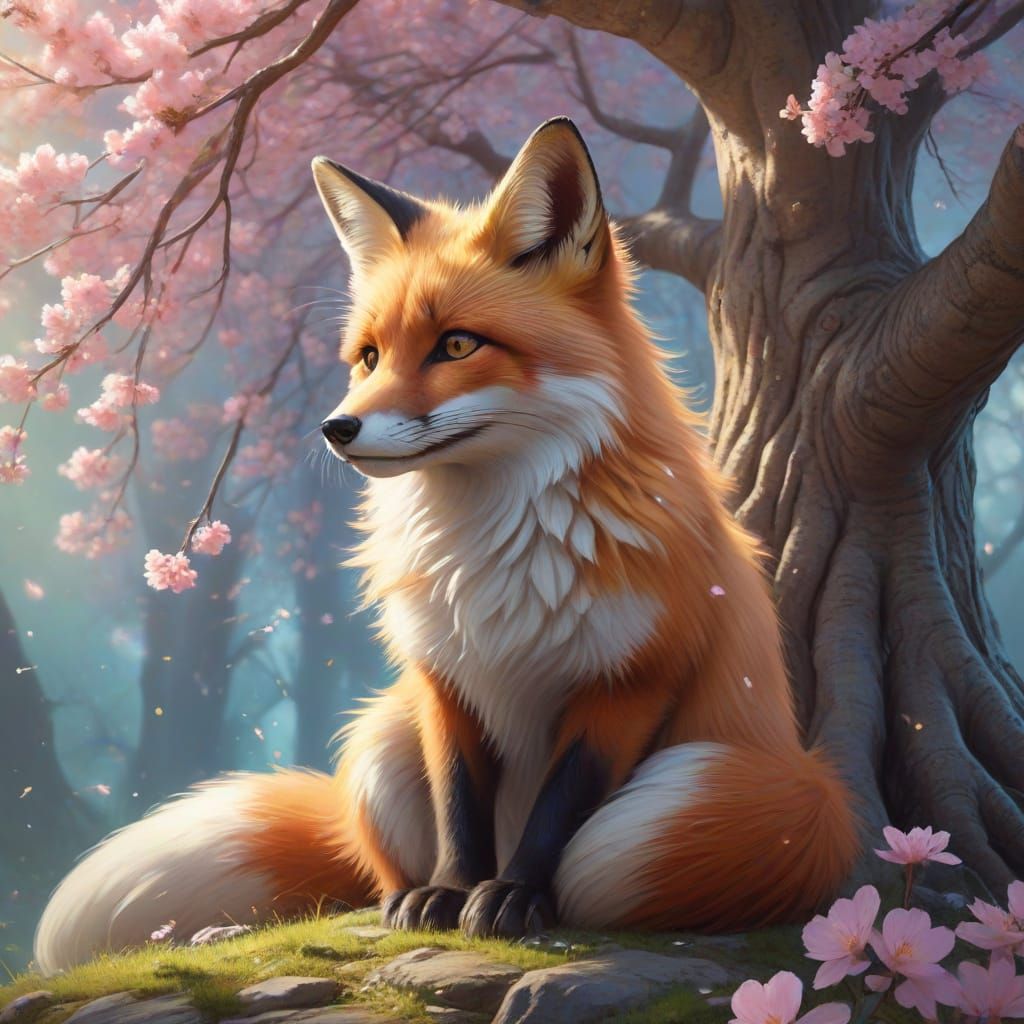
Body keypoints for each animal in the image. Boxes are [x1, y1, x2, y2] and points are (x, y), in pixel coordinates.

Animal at [34, 117, 859, 974]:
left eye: (457, 346)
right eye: (368, 356)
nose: (336, 428)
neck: (499, 553)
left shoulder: (631, 679)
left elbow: (560, 809)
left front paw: (516, 896)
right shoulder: (443, 679)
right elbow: (458, 803)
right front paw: (450, 895)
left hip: (735, 791)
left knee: (612, 852)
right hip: (377, 739)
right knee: (374, 865)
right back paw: (397, 892)